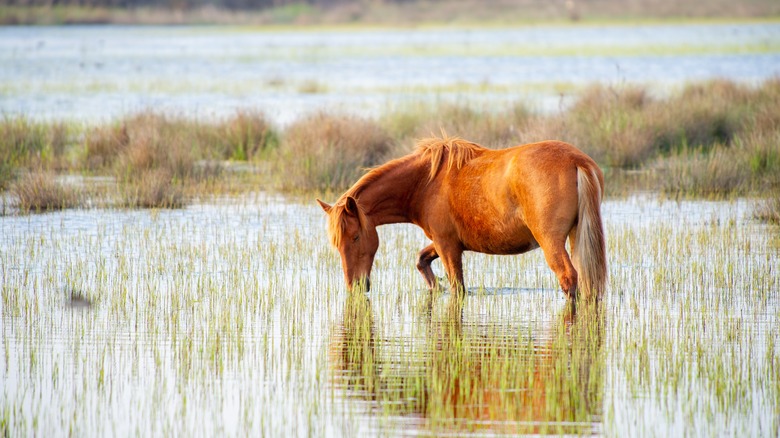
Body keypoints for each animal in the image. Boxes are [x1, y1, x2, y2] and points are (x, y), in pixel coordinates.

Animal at [316, 136, 608, 302]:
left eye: (355, 237)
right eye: (336, 244)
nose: (354, 286)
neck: (425, 181)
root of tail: (577, 161)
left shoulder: (447, 245)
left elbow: (457, 288)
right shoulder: (446, 242)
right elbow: (422, 261)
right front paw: (434, 288)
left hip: (551, 242)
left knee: (568, 278)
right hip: (576, 237)